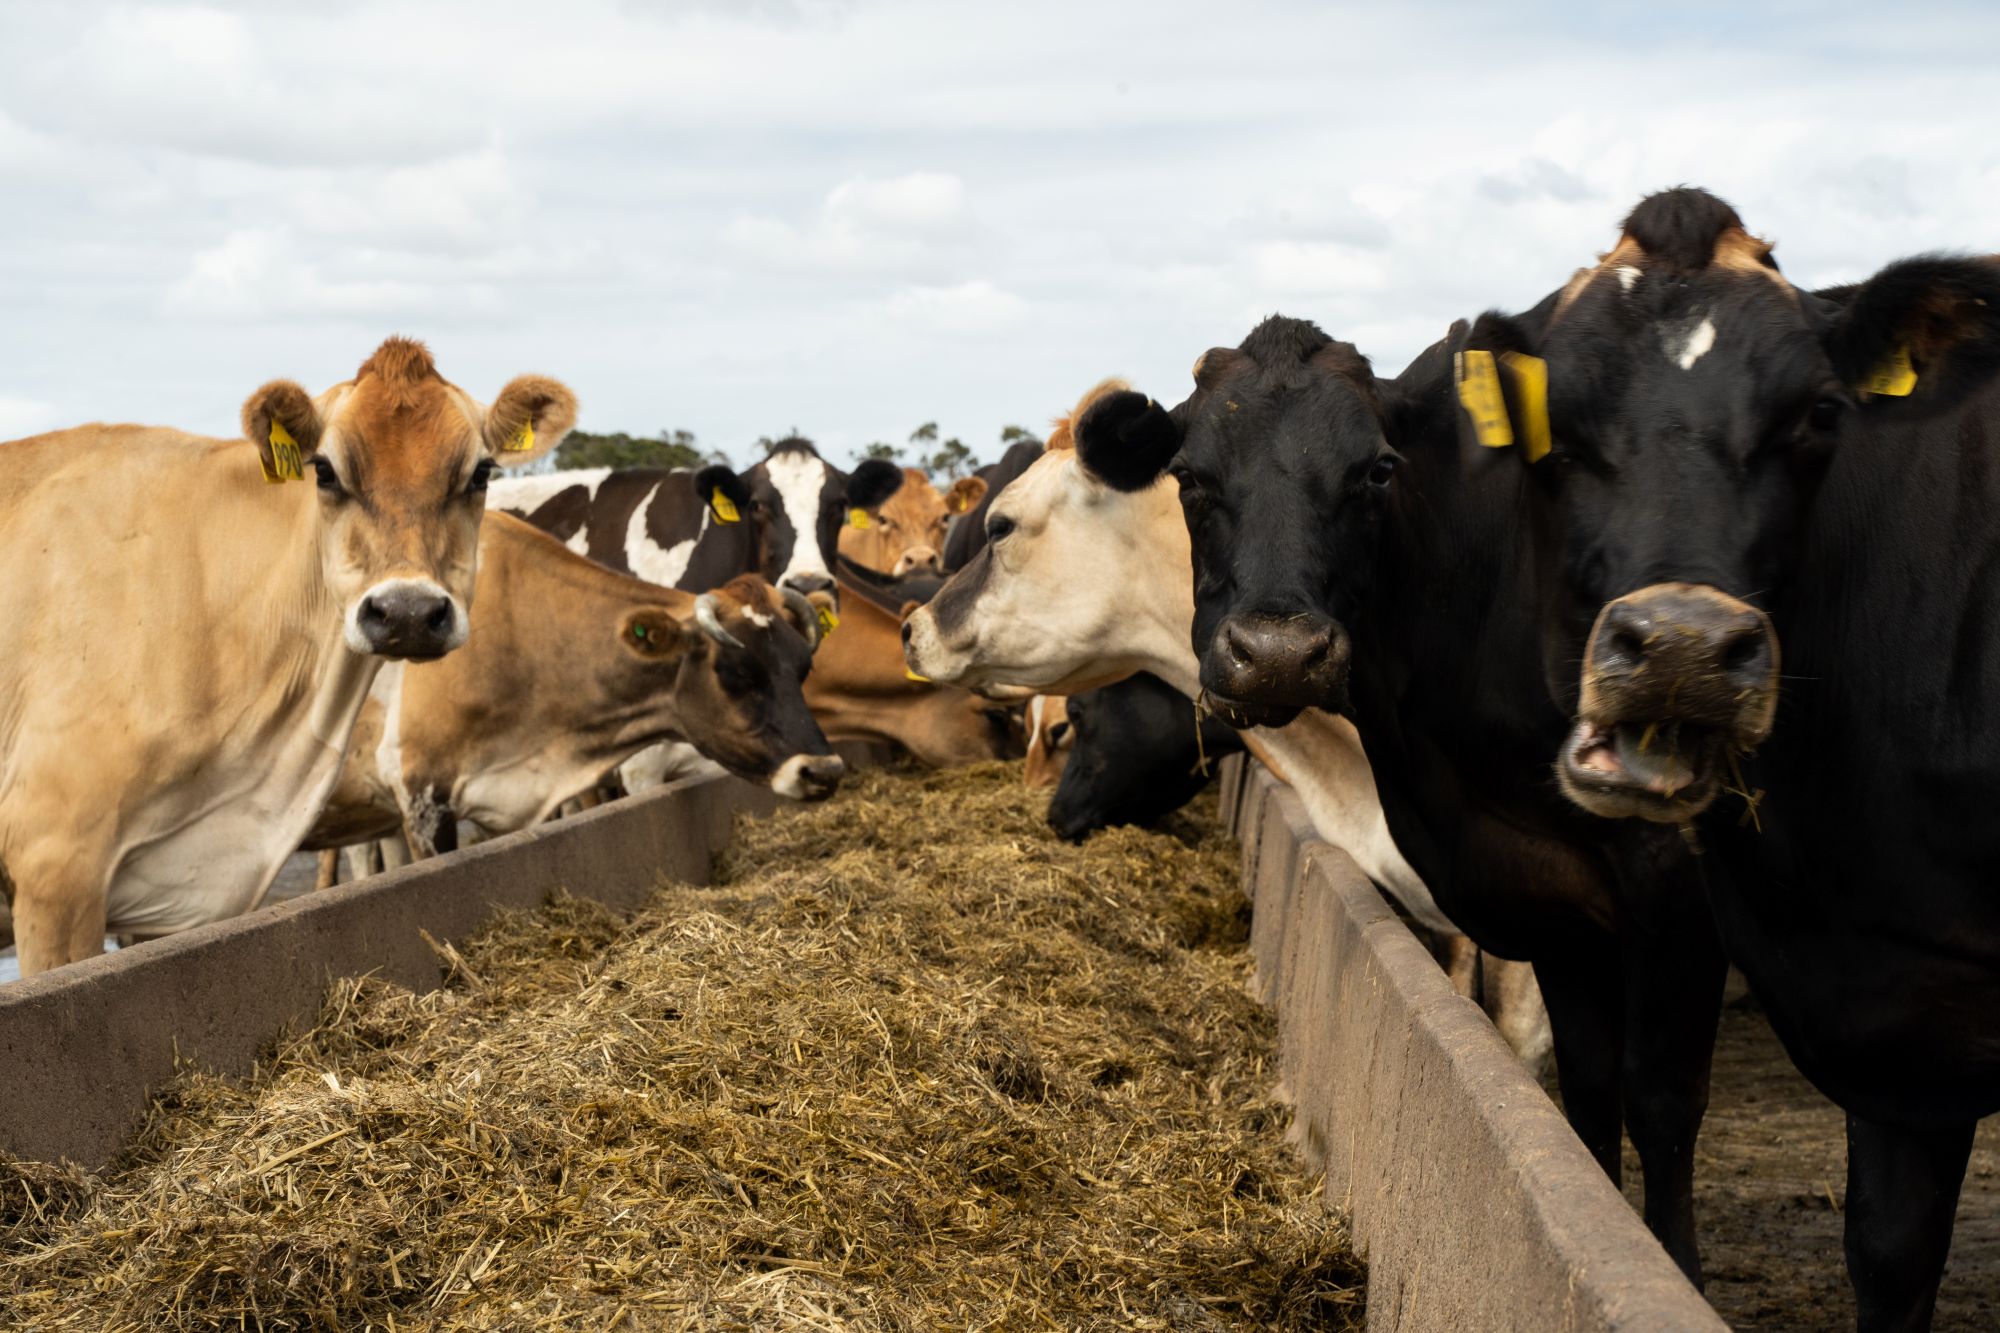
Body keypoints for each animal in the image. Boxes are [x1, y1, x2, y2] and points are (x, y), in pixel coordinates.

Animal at [1046, 317, 1727, 1280]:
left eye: (1375, 470)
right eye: (1189, 475)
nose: (1277, 654)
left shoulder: (1671, 877)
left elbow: (1660, 1100)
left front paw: (1670, 1269)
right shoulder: (1549, 893)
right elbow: (1585, 1089)